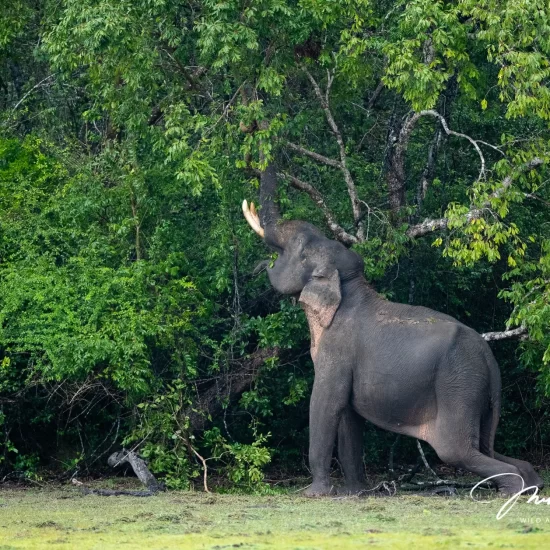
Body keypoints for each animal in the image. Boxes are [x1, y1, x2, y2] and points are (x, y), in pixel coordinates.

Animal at [244, 162, 544, 498]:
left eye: (299, 249)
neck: (351, 288)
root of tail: (490, 360)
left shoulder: (336, 351)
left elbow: (324, 404)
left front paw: (313, 494)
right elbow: (348, 417)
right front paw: (355, 493)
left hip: (460, 384)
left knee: (456, 451)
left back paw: (511, 491)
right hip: (480, 393)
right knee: (487, 448)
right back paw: (531, 483)